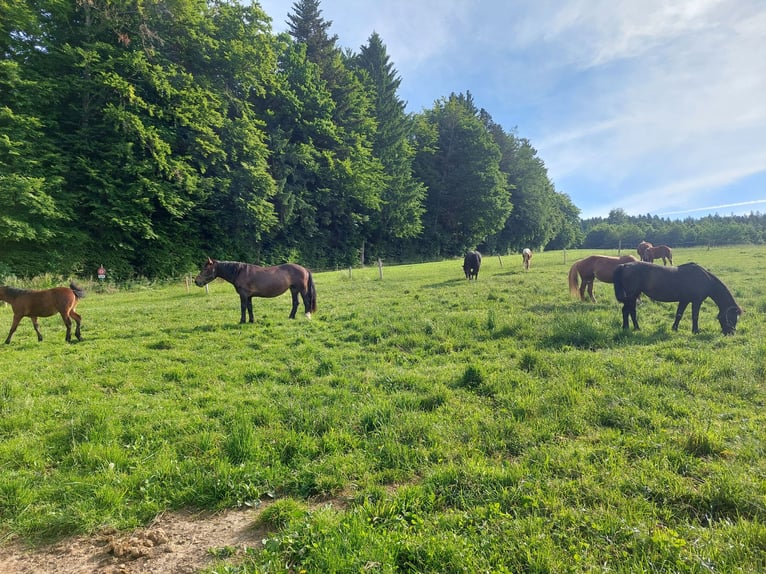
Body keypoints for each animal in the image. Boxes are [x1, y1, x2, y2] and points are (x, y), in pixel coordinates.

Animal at [613, 261, 742, 334]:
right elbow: (695, 316)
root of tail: (624, 265)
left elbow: (679, 314)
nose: (730, 333)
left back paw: (627, 328)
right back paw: (635, 328)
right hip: (632, 295)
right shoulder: (696, 301)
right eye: (732, 317)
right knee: (629, 310)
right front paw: (696, 331)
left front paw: (674, 328)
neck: (705, 280)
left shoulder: (684, 300)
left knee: (627, 310)